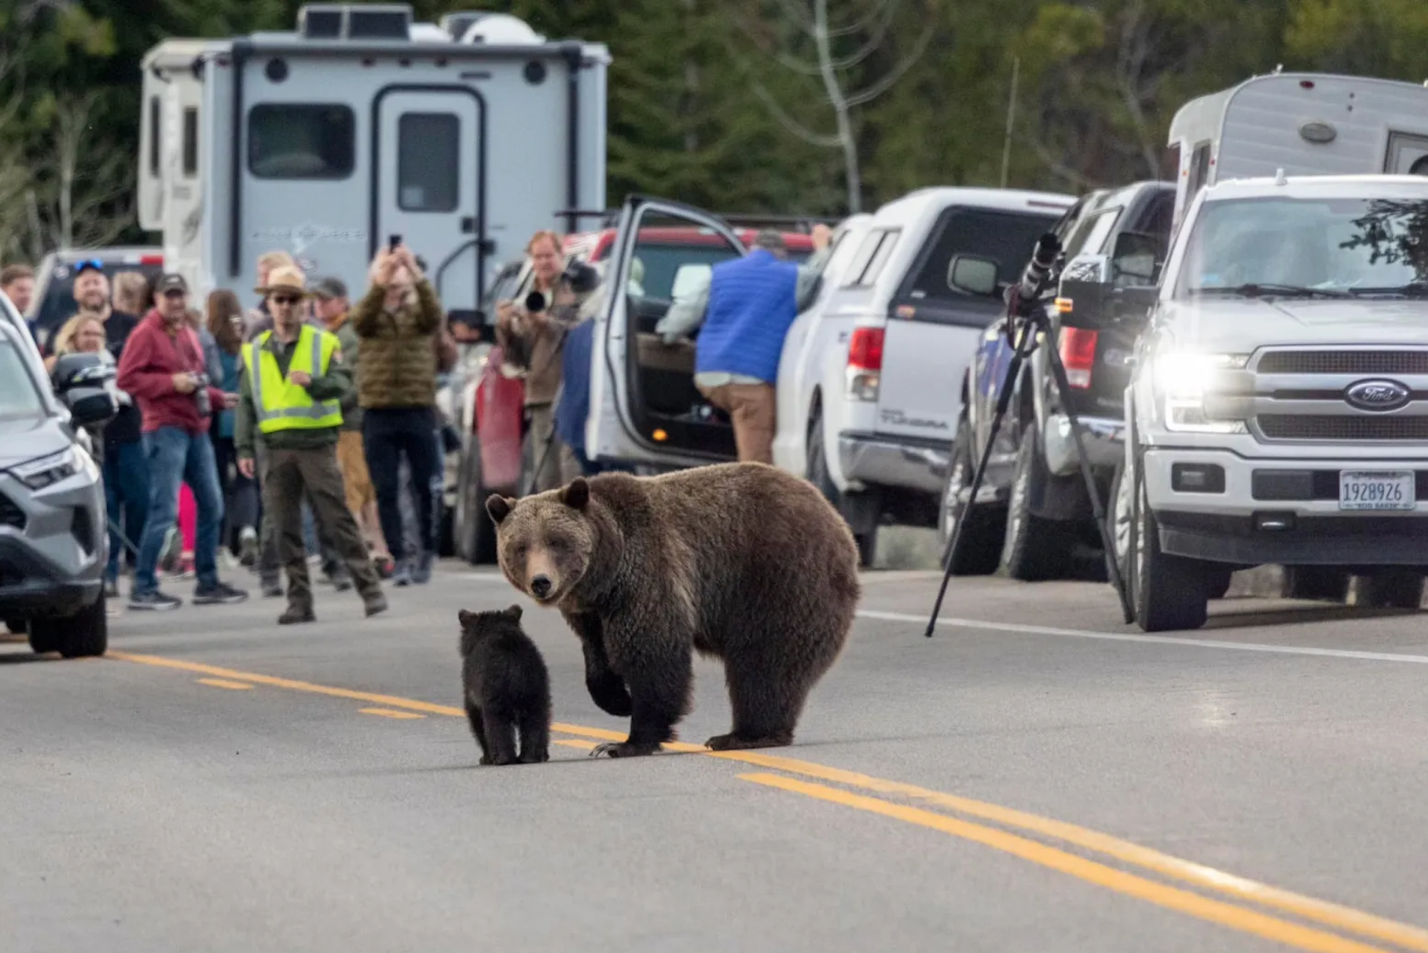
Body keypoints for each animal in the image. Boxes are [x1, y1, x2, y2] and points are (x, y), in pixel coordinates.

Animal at [459, 602, 548, 765]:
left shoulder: (470, 684)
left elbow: (475, 716)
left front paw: (485, 758)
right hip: (536, 688)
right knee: (537, 719)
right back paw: (533, 756)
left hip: (494, 691)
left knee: (496, 724)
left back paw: (502, 758)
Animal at [485, 462, 856, 760]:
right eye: (520, 547)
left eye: (556, 541)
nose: (541, 582)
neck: (606, 574)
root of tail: (837, 521)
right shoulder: (591, 613)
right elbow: (598, 656)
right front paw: (618, 700)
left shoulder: (647, 574)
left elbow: (652, 653)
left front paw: (623, 742)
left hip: (779, 580)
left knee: (764, 662)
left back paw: (744, 734)